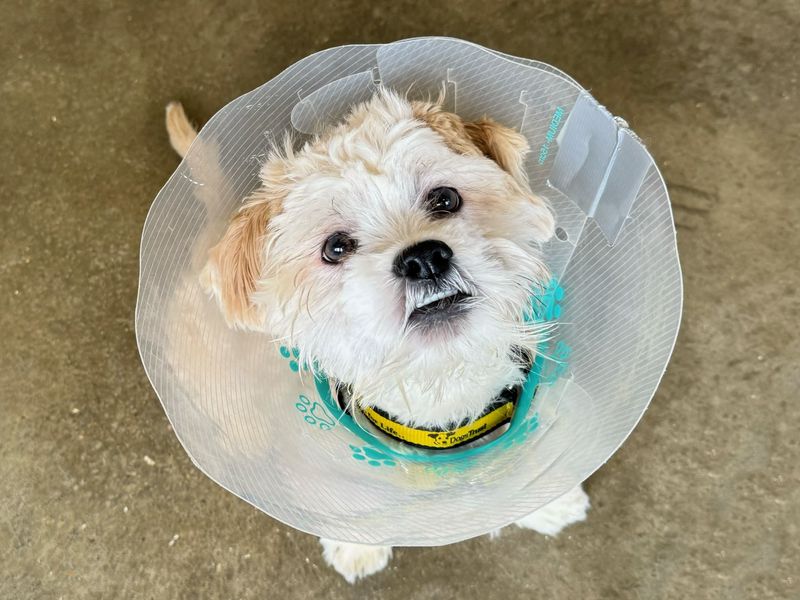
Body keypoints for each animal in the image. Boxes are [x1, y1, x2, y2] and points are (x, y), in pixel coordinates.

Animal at [166, 89, 592, 580]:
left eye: (445, 198)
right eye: (335, 248)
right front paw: (356, 545)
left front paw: (551, 502)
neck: (439, 382)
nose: (424, 258)